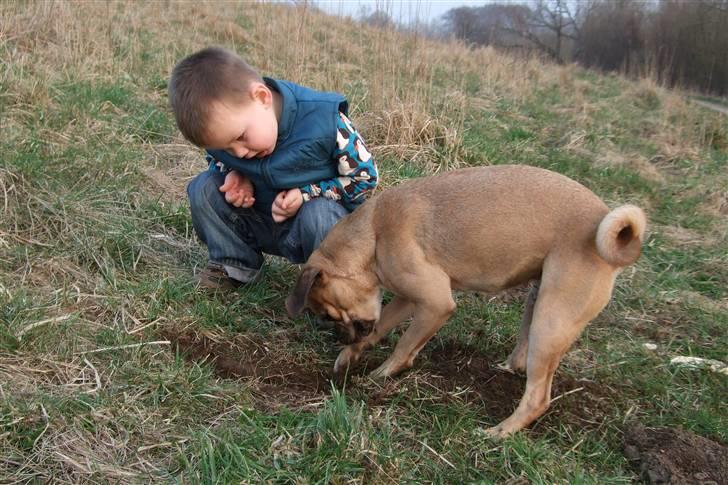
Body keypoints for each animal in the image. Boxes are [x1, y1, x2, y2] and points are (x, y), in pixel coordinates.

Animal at [284, 164, 644, 436]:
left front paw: (380, 375)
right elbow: (380, 327)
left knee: (538, 397)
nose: (339, 335)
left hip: (551, 321)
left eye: (328, 315)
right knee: (524, 359)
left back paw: (500, 433)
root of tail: (605, 228)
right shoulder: (408, 300)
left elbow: (404, 347)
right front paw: (350, 356)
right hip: (537, 304)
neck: (374, 234)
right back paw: (505, 371)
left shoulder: (435, 304)